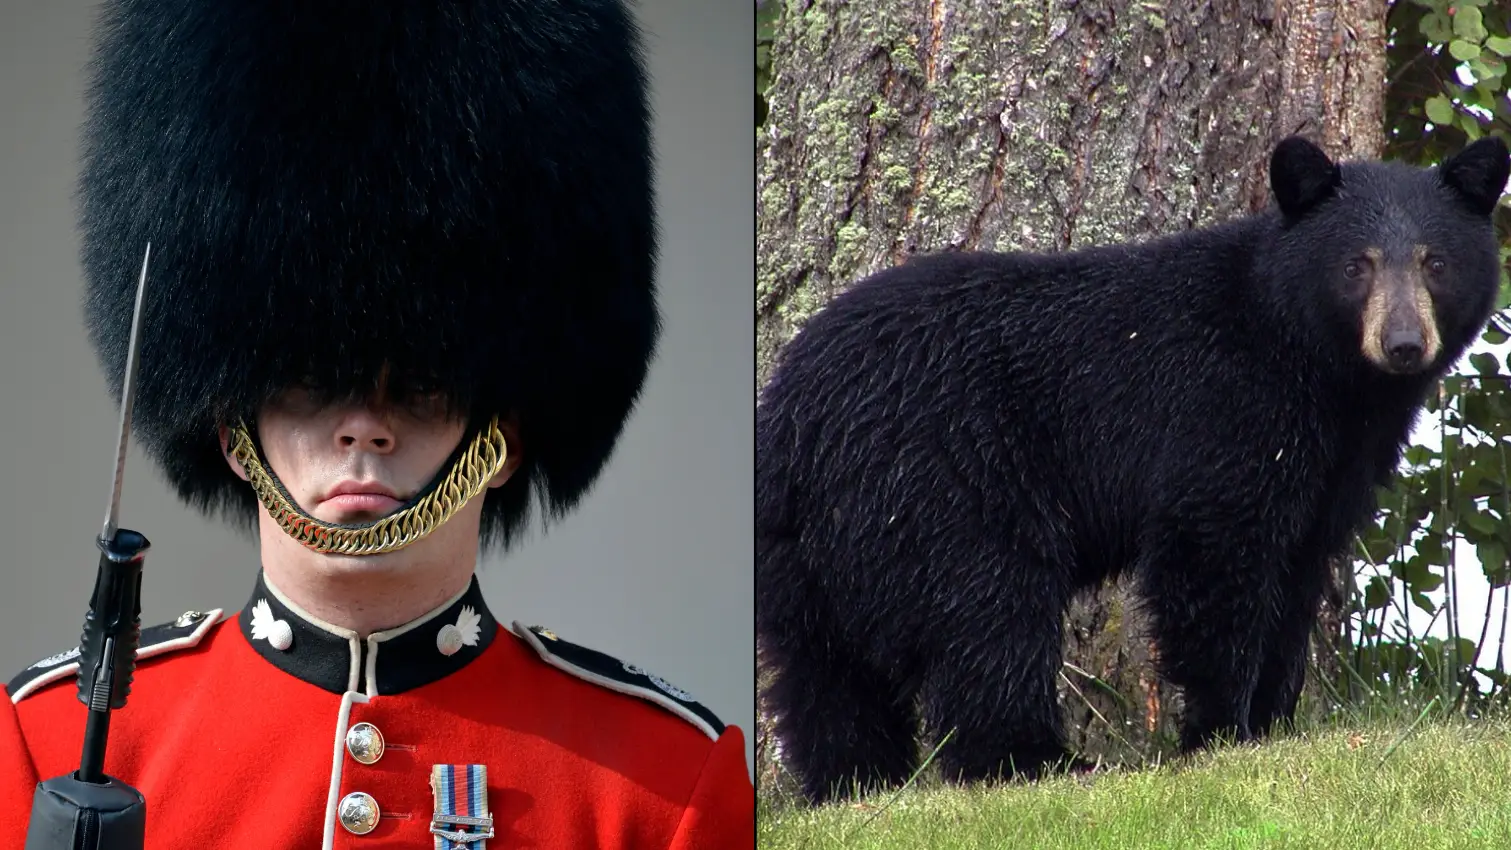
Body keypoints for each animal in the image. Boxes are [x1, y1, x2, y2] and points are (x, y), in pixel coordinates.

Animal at [755, 135, 1511, 805]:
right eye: (1357, 265)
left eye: (1435, 262)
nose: (1403, 344)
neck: (1315, 367)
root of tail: (796, 422)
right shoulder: (1225, 410)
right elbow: (1213, 556)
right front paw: (1220, 733)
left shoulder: (1332, 467)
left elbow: (1296, 576)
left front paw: (1273, 722)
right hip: (940, 481)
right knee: (987, 616)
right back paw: (1038, 762)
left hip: (804, 554)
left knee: (824, 677)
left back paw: (854, 783)